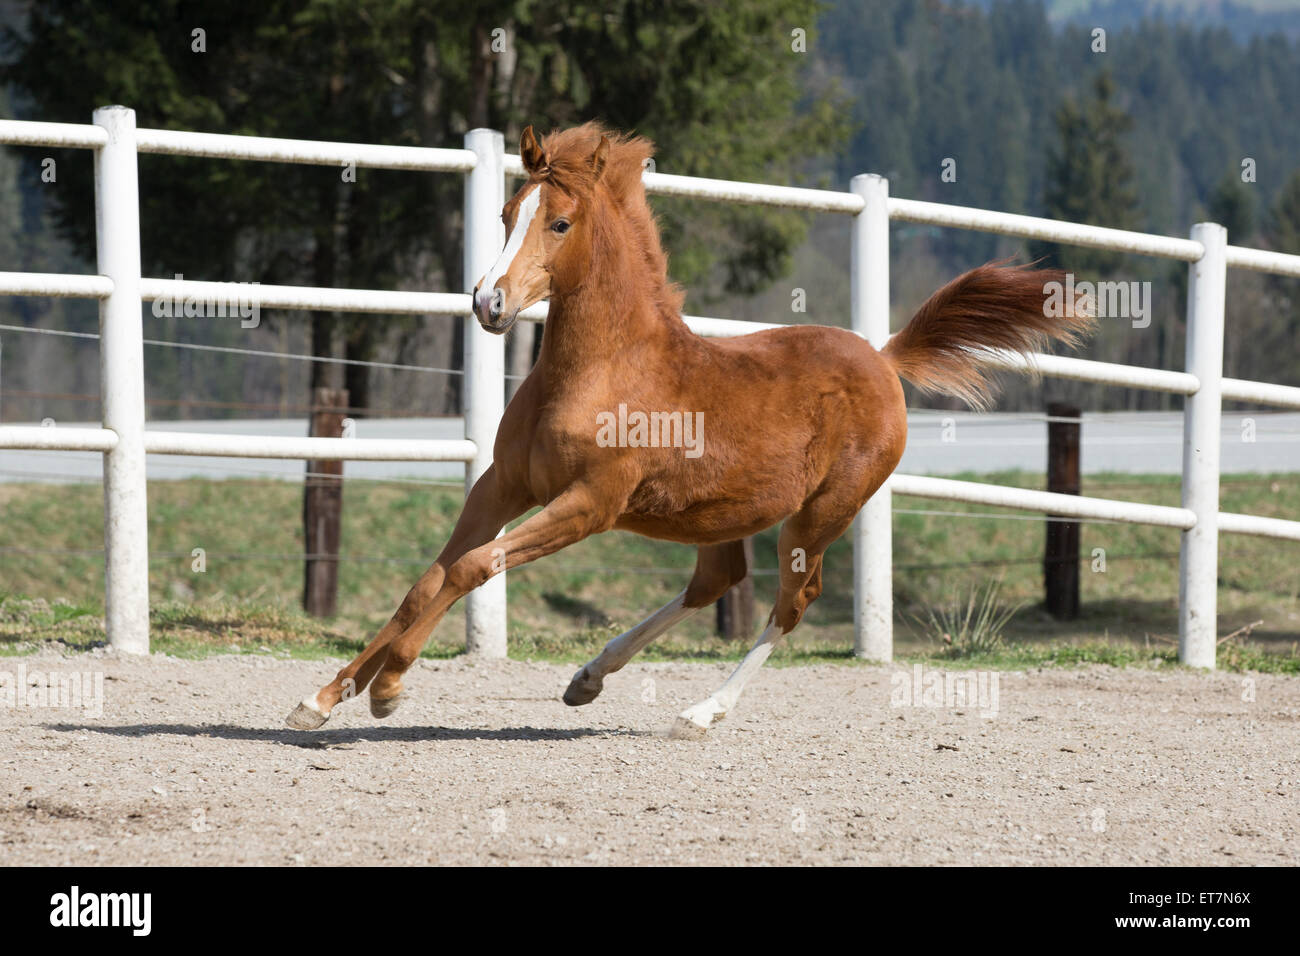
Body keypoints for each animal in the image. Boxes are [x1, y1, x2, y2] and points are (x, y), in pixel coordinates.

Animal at [287, 123, 1097, 738]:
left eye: (559, 222)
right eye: (507, 212)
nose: (489, 302)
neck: (604, 369)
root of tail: (883, 357)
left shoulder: (591, 503)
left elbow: (472, 568)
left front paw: (389, 689)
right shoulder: (504, 483)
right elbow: (429, 579)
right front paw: (323, 699)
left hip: (821, 514)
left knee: (790, 602)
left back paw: (700, 713)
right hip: (721, 515)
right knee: (718, 581)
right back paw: (589, 677)